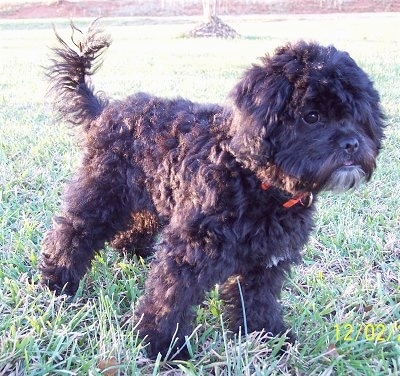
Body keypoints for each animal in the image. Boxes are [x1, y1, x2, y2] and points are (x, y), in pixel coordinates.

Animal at [39, 22, 384, 358]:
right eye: (311, 116)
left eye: (357, 115)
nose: (353, 144)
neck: (251, 178)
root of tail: (106, 111)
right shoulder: (190, 250)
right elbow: (170, 296)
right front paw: (161, 344)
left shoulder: (265, 259)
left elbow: (258, 300)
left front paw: (268, 336)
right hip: (101, 192)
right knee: (72, 231)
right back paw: (56, 282)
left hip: (152, 193)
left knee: (136, 225)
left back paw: (134, 253)